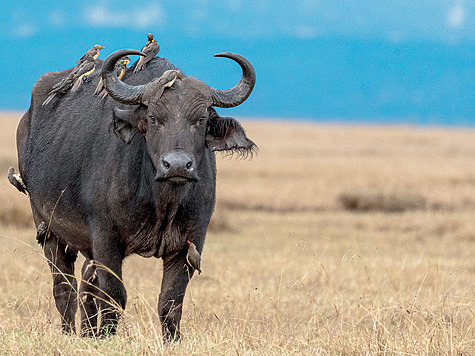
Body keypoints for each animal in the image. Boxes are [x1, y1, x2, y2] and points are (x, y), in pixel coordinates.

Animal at [15, 48, 256, 340]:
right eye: (153, 118)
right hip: (48, 227)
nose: (177, 165)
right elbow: (114, 294)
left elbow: (170, 300)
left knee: (85, 283)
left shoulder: (191, 242)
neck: (162, 202)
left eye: (200, 119)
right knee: (64, 285)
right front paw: (107, 335)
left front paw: (171, 339)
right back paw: (70, 332)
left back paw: (87, 333)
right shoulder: (105, 238)